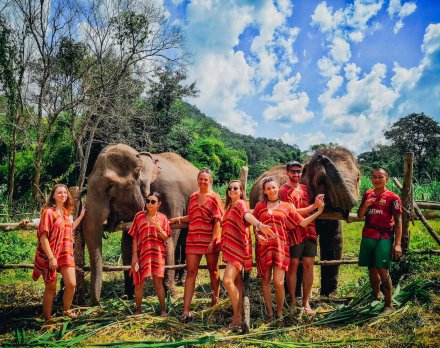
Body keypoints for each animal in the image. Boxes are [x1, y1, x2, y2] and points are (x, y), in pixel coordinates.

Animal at [83, 143, 199, 304]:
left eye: (110, 186)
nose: (95, 302)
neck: (142, 159)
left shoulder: (169, 197)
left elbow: (167, 237)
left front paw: (170, 296)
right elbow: (127, 243)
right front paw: (128, 296)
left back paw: (181, 281)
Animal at [251, 147, 360, 296]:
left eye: (358, 177)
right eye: (321, 181)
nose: (321, 156)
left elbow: (334, 241)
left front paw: (328, 295)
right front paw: (295, 294)